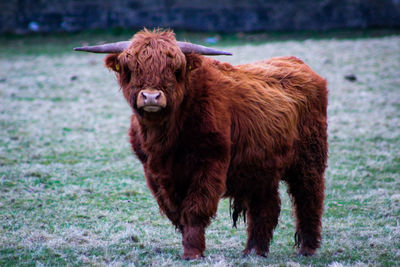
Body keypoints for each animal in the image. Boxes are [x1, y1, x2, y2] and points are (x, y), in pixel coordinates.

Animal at [75, 28, 328, 260]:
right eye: (131, 68)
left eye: (174, 69)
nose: (151, 97)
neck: (166, 136)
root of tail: (299, 65)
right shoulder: (155, 173)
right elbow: (175, 211)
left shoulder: (210, 164)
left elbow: (195, 208)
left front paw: (193, 252)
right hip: (262, 167)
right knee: (267, 205)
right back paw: (254, 251)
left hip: (309, 160)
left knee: (309, 198)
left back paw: (307, 249)